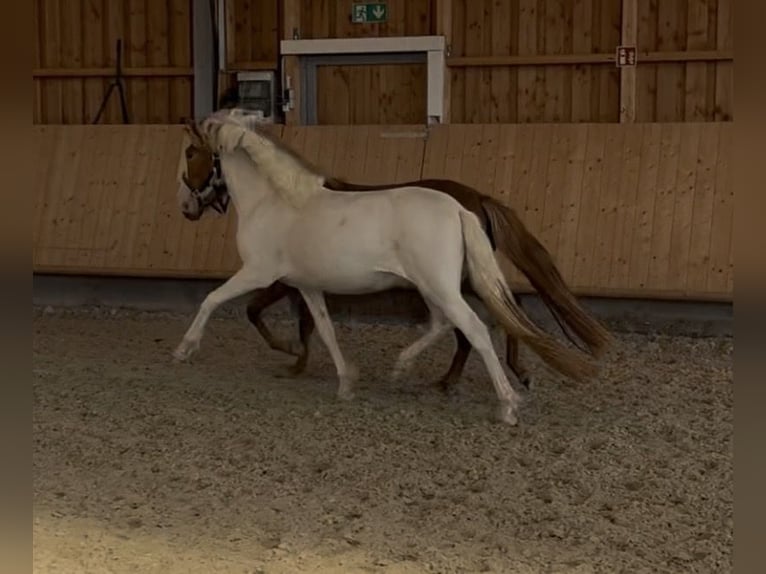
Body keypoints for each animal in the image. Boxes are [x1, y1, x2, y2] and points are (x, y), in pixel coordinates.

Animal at [173, 109, 600, 425]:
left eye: (191, 152)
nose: (186, 208)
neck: (275, 201)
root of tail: (463, 207)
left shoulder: (259, 273)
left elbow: (213, 300)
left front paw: (184, 349)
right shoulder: (307, 285)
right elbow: (324, 329)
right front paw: (345, 382)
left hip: (442, 286)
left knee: (475, 329)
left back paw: (506, 404)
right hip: (432, 287)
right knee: (448, 324)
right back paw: (406, 369)